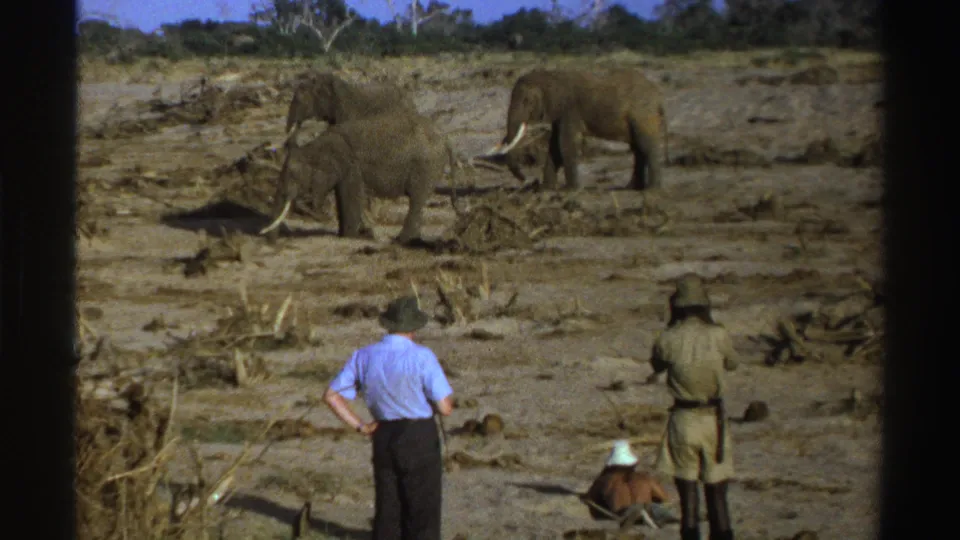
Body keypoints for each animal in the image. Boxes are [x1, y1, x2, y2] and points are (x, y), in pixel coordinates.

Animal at [260, 111, 459, 245]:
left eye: (294, 175)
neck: (314, 146)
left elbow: (351, 196)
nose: (271, 243)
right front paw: (345, 235)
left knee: (416, 200)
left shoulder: (351, 167)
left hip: (425, 166)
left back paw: (400, 241)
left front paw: (350, 237)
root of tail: (446, 139)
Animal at [486, 68, 669, 191]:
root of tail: (659, 97)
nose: (527, 180)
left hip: (642, 115)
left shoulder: (570, 111)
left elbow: (566, 145)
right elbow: (554, 148)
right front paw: (546, 189)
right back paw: (632, 188)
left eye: (527, 102)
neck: (551, 75)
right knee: (638, 149)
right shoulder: (560, 115)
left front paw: (569, 190)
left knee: (646, 146)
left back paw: (652, 189)